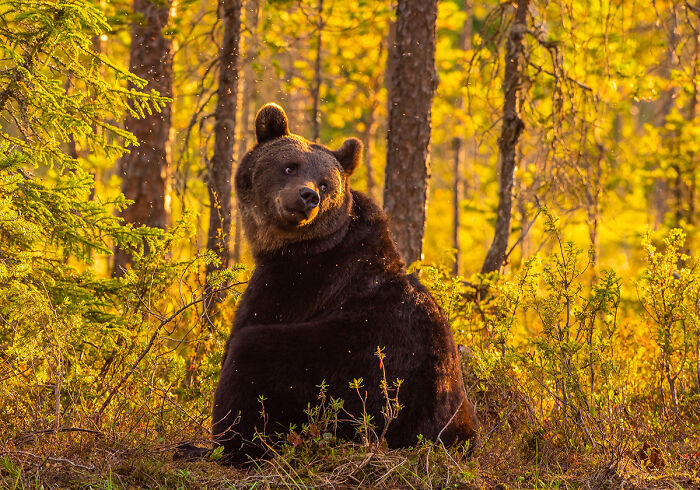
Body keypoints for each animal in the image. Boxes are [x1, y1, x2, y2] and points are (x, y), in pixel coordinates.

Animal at [211, 102, 478, 464]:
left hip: (347, 369)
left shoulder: (299, 281)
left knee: (254, 354)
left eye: (325, 184)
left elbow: (247, 326)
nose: (307, 196)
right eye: (289, 166)